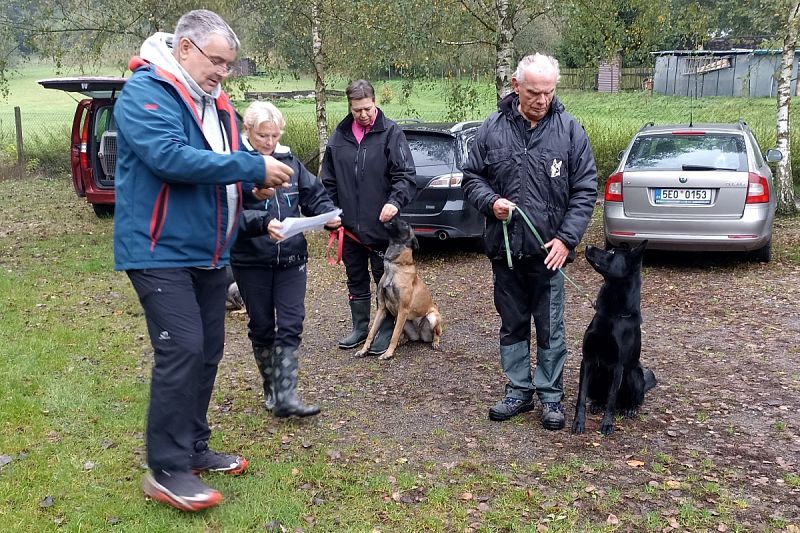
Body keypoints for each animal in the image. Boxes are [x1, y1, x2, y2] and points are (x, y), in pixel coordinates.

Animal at [576, 241, 656, 436]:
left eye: (612, 253)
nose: (588, 246)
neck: (612, 315)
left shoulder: (618, 367)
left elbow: (612, 399)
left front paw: (607, 424)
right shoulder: (587, 361)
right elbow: (581, 396)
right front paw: (578, 422)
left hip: (634, 375)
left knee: (628, 401)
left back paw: (629, 409)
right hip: (596, 375)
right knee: (600, 398)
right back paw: (597, 404)